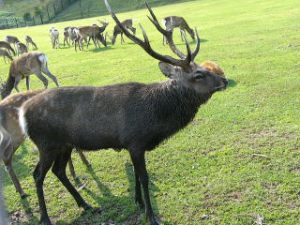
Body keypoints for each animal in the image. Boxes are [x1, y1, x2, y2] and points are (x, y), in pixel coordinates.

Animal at [16, 0, 227, 224]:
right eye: (198, 75)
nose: (224, 80)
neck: (157, 119)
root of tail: (22, 113)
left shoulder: (130, 145)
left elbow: (136, 176)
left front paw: (139, 202)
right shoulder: (135, 141)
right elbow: (143, 177)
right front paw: (150, 215)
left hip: (65, 144)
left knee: (59, 171)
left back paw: (85, 204)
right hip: (46, 143)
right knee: (38, 174)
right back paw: (46, 217)